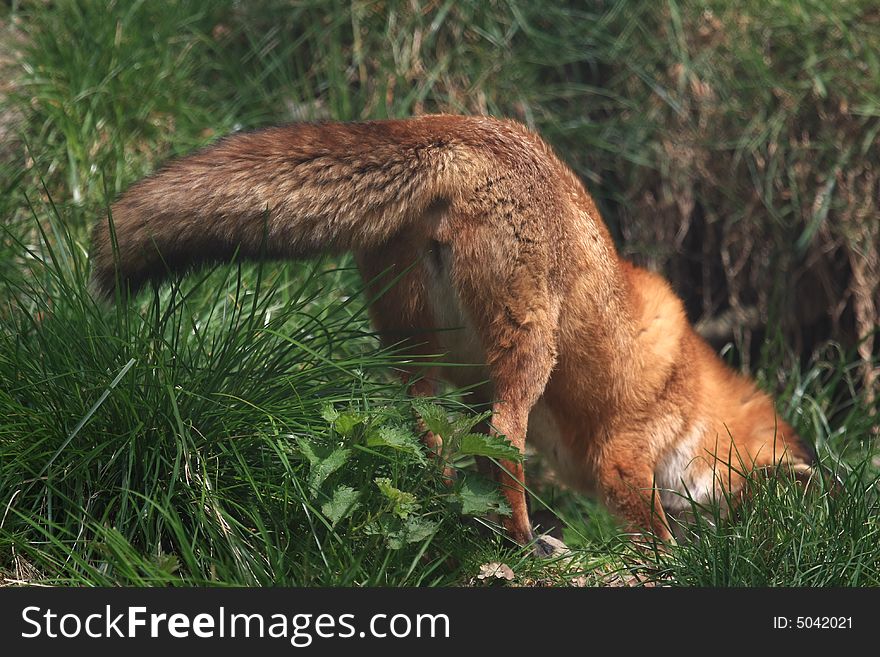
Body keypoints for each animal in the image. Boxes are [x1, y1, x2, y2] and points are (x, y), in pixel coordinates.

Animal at [93, 115, 816, 552]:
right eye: (744, 505)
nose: (736, 548)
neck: (691, 394)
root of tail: (453, 130)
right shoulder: (624, 452)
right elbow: (652, 534)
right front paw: (676, 562)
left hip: (417, 344)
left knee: (428, 430)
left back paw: (450, 512)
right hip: (531, 348)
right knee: (502, 439)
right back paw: (525, 541)